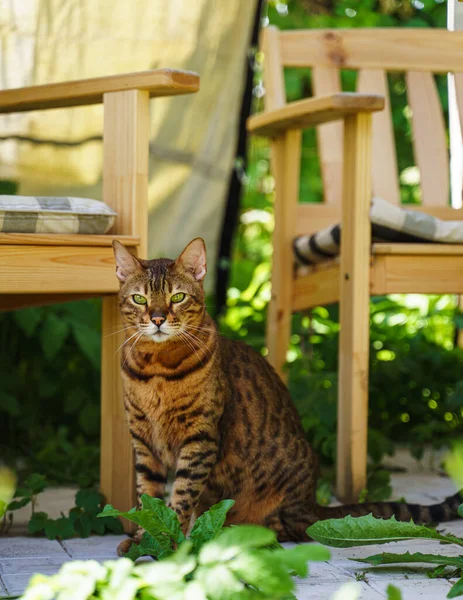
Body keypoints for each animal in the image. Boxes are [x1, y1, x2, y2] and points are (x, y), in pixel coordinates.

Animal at [113, 237, 463, 556]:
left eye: (178, 297)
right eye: (140, 298)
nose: (158, 319)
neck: (157, 369)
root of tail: (312, 503)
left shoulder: (200, 438)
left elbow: (181, 497)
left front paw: (168, 542)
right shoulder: (143, 440)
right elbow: (148, 496)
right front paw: (144, 538)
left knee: (295, 529)